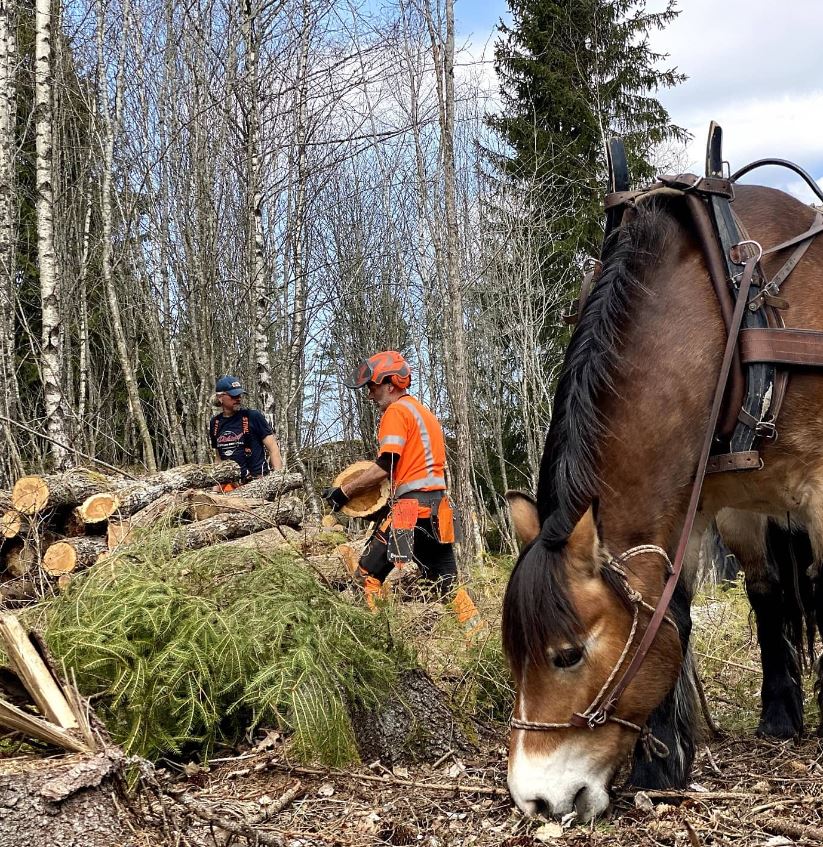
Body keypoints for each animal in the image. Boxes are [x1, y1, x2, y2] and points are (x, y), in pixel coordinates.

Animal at [502, 181, 823, 820]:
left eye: (568, 655)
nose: (535, 800)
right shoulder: (691, 505)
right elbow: (671, 611)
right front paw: (661, 764)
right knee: (768, 589)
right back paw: (779, 718)